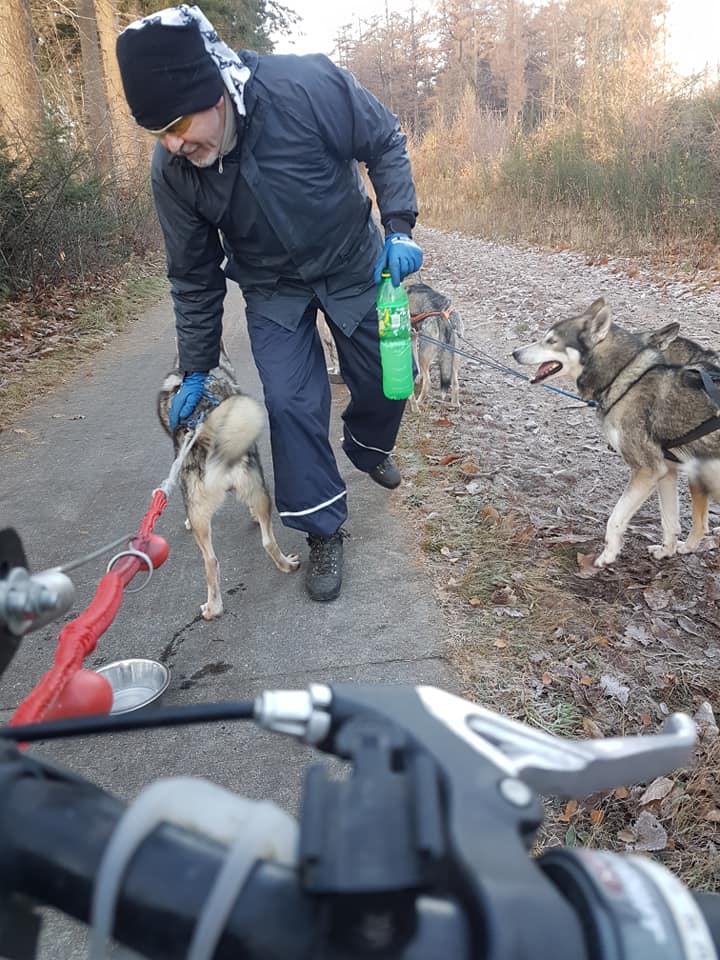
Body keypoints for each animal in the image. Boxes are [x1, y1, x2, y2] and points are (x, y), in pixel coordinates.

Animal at [158, 348, 300, 620]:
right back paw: (285, 566)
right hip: (257, 490)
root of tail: (206, 434)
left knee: (213, 560)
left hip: (207, 509)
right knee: (263, 542)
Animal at [404, 280, 462, 410]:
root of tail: (444, 317)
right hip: (454, 358)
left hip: (424, 355)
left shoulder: (411, 338)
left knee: (428, 384)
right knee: (455, 384)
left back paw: (418, 404)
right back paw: (454, 404)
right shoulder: (414, 337)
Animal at [512, 300, 720, 568]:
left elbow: (615, 519)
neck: (624, 379)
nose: (515, 353)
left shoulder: (647, 471)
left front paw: (608, 555)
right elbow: (670, 523)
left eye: (551, 340)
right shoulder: (666, 471)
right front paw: (667, 551)